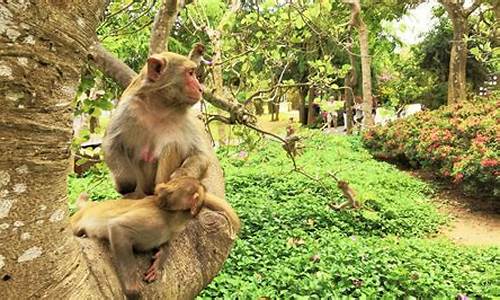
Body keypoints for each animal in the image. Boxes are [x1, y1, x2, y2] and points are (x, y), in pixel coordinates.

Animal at [70, 177, 240, 298]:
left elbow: (164, 244)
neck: (173, 217)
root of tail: (88, 206)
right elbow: (118, 228)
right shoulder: (154, 220)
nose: (159, 189)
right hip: (76, 220)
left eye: (170, 186)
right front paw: (132, 288)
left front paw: (160, 259)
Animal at [103, 43, 211, 198]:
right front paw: (125, 183)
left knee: (172, 145)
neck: (159, 106)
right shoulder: (128, 107)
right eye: (190, 73)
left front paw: (180, 176)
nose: (200, 89)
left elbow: (200, 155)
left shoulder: (187, 117)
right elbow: (111, 144)